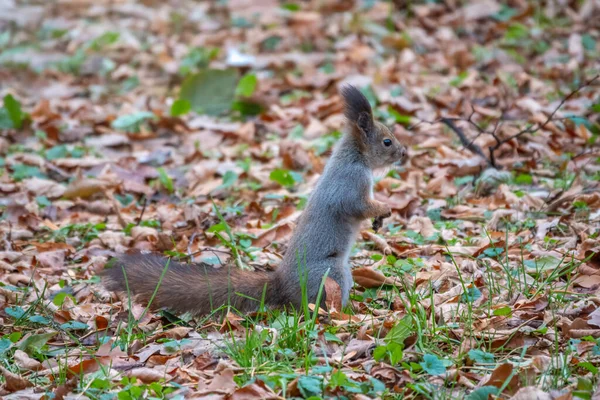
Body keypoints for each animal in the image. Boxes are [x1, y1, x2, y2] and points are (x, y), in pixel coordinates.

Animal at [101, 86, 406, 316]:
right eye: (387, 142)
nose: (405, 154)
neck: (356, 157)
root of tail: (281, 284)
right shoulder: (350, 184)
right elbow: (357, 206)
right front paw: (384, 209)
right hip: (330, 274)